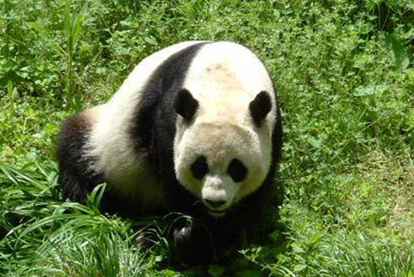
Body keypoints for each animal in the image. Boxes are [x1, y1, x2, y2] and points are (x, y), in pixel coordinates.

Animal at [58, 40, 284, 264]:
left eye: (237, 168)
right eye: (199, 166)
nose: (215, 201)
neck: (223, 84)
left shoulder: (272, 131)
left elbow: (255, 196)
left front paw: (218, 239)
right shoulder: (166, 121)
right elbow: (175, 185)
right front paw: (194, 239)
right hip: (106, 145)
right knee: (79, 158)